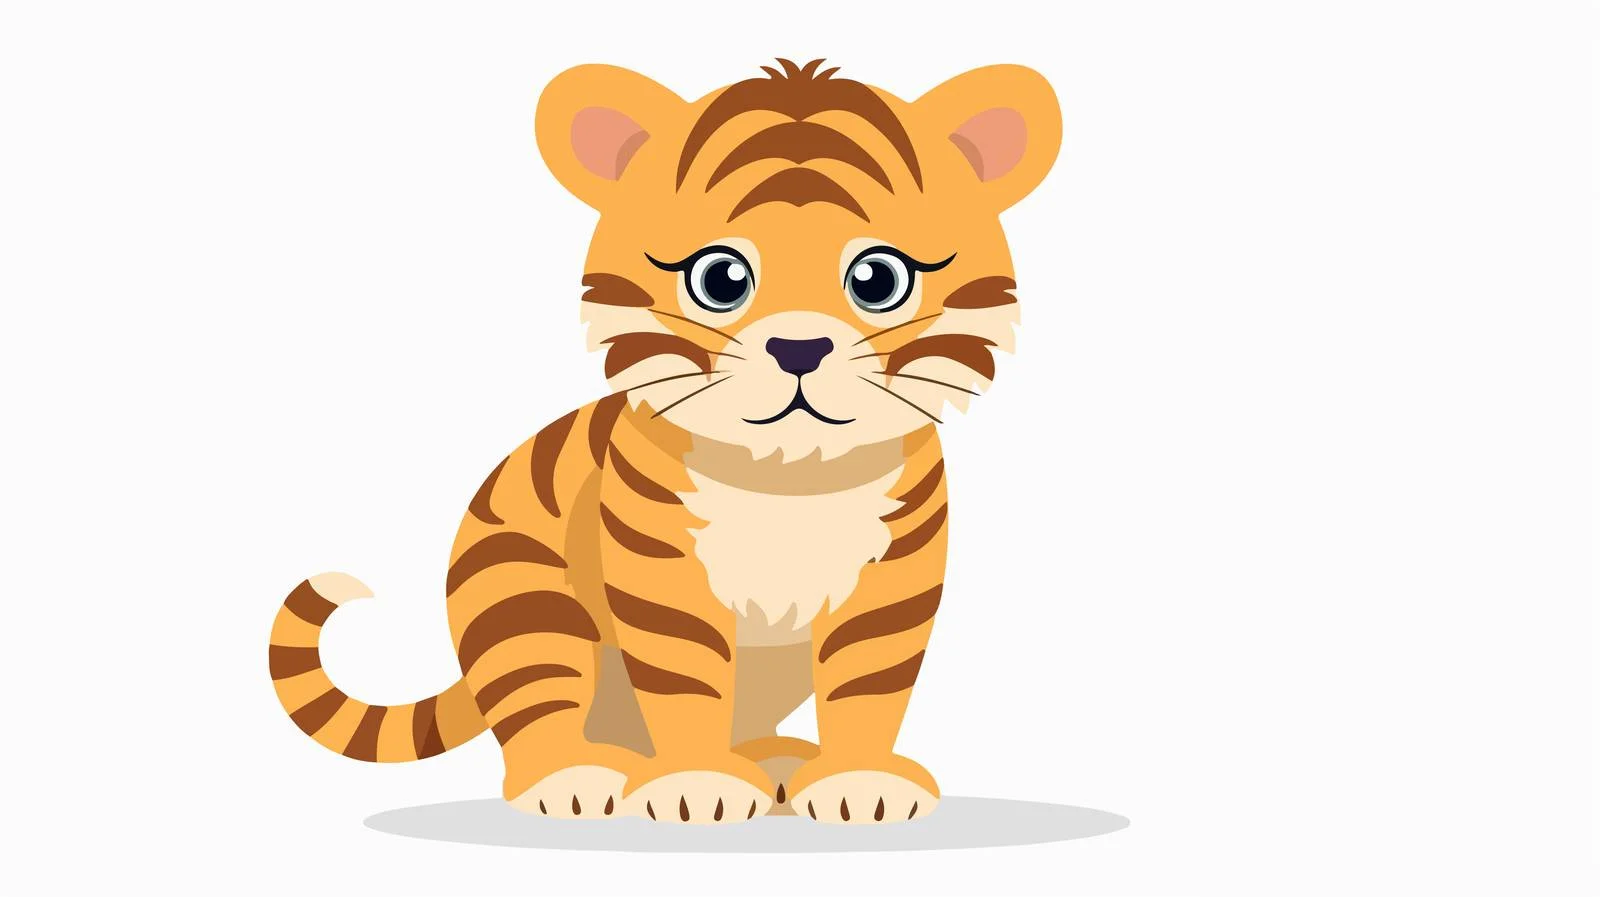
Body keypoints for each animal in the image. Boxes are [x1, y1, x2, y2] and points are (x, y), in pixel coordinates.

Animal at [269, 58, 1060, 825]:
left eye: (877, 278)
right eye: (721, 278)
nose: (799, 349)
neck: (789, 473)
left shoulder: (891, 578)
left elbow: (868, 682)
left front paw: (860, 782)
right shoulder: (662, 577)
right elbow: (687, 681)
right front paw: (698, 787)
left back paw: (773, 762)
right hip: (525, 605)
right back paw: (577, 777)